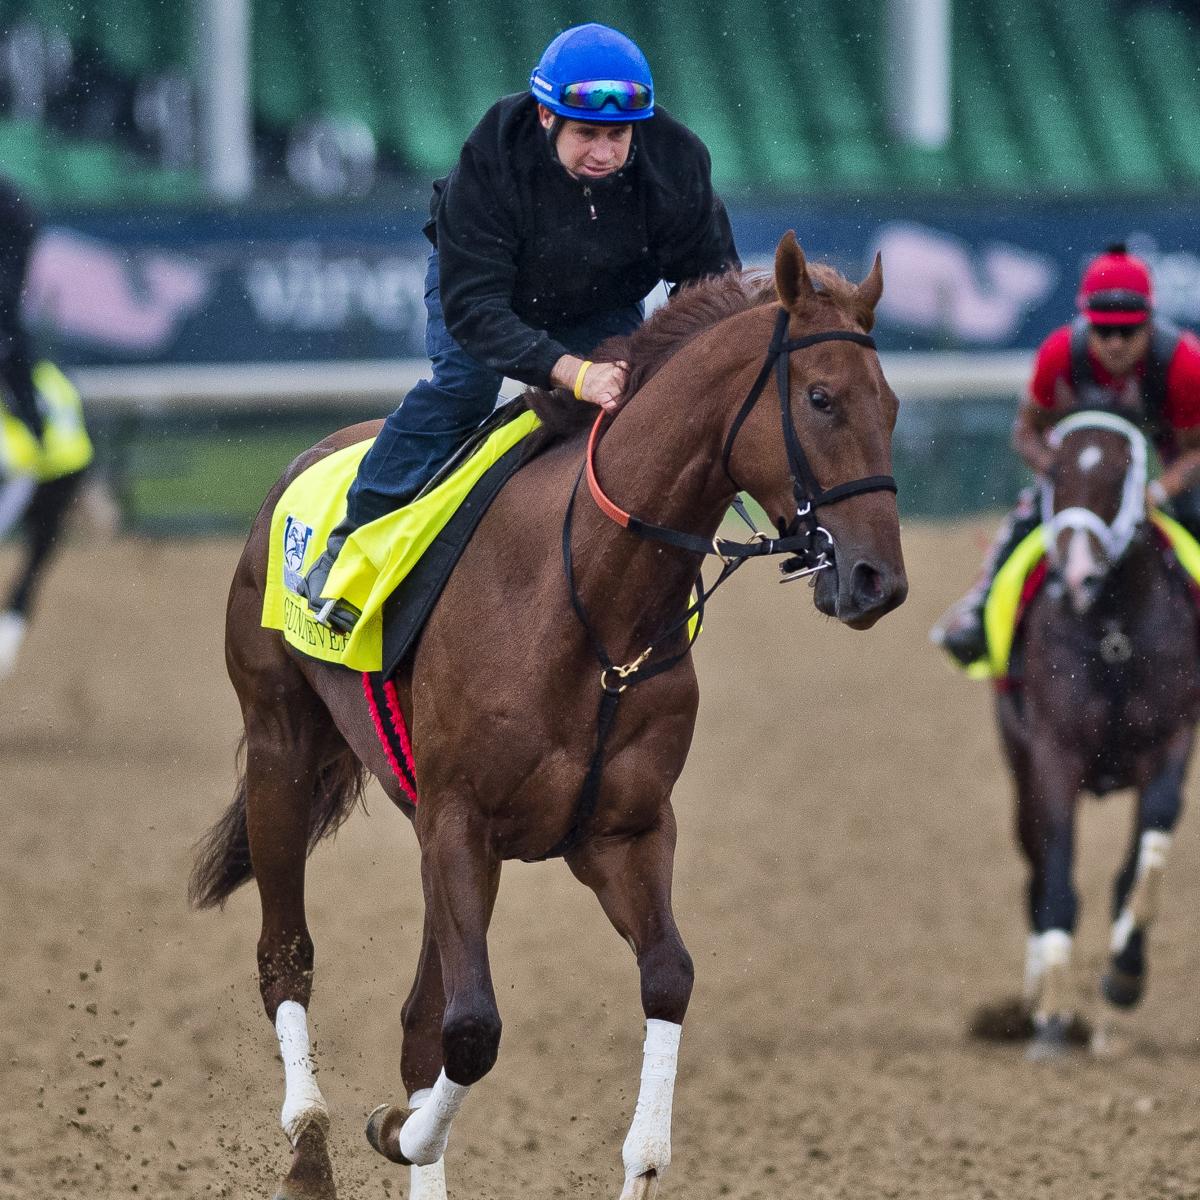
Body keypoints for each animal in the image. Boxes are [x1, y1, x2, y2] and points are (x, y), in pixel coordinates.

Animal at [187, 236, 902, 1200]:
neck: (589, 606)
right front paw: (396, 1130)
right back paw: (308, 1144)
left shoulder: (617, 833)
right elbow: (472, 1030)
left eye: (891, 404)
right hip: (281, 749)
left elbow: (662, 980)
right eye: (822, 399)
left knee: (420, 1014)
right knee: (286, 955)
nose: (876, 580)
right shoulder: (459, 820)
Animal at [998, 410, 1195, 1051]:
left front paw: (1126, 970)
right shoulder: (1052, 754)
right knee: (1035, 870)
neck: (1112, 632)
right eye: (1055, 474)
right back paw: (1036, 994)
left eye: (1120, 476)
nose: (1078, 572)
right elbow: (1057, 874)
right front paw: (1053, 1014)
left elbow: (1148, 842)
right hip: (1018, 763)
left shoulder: (1172, 737)